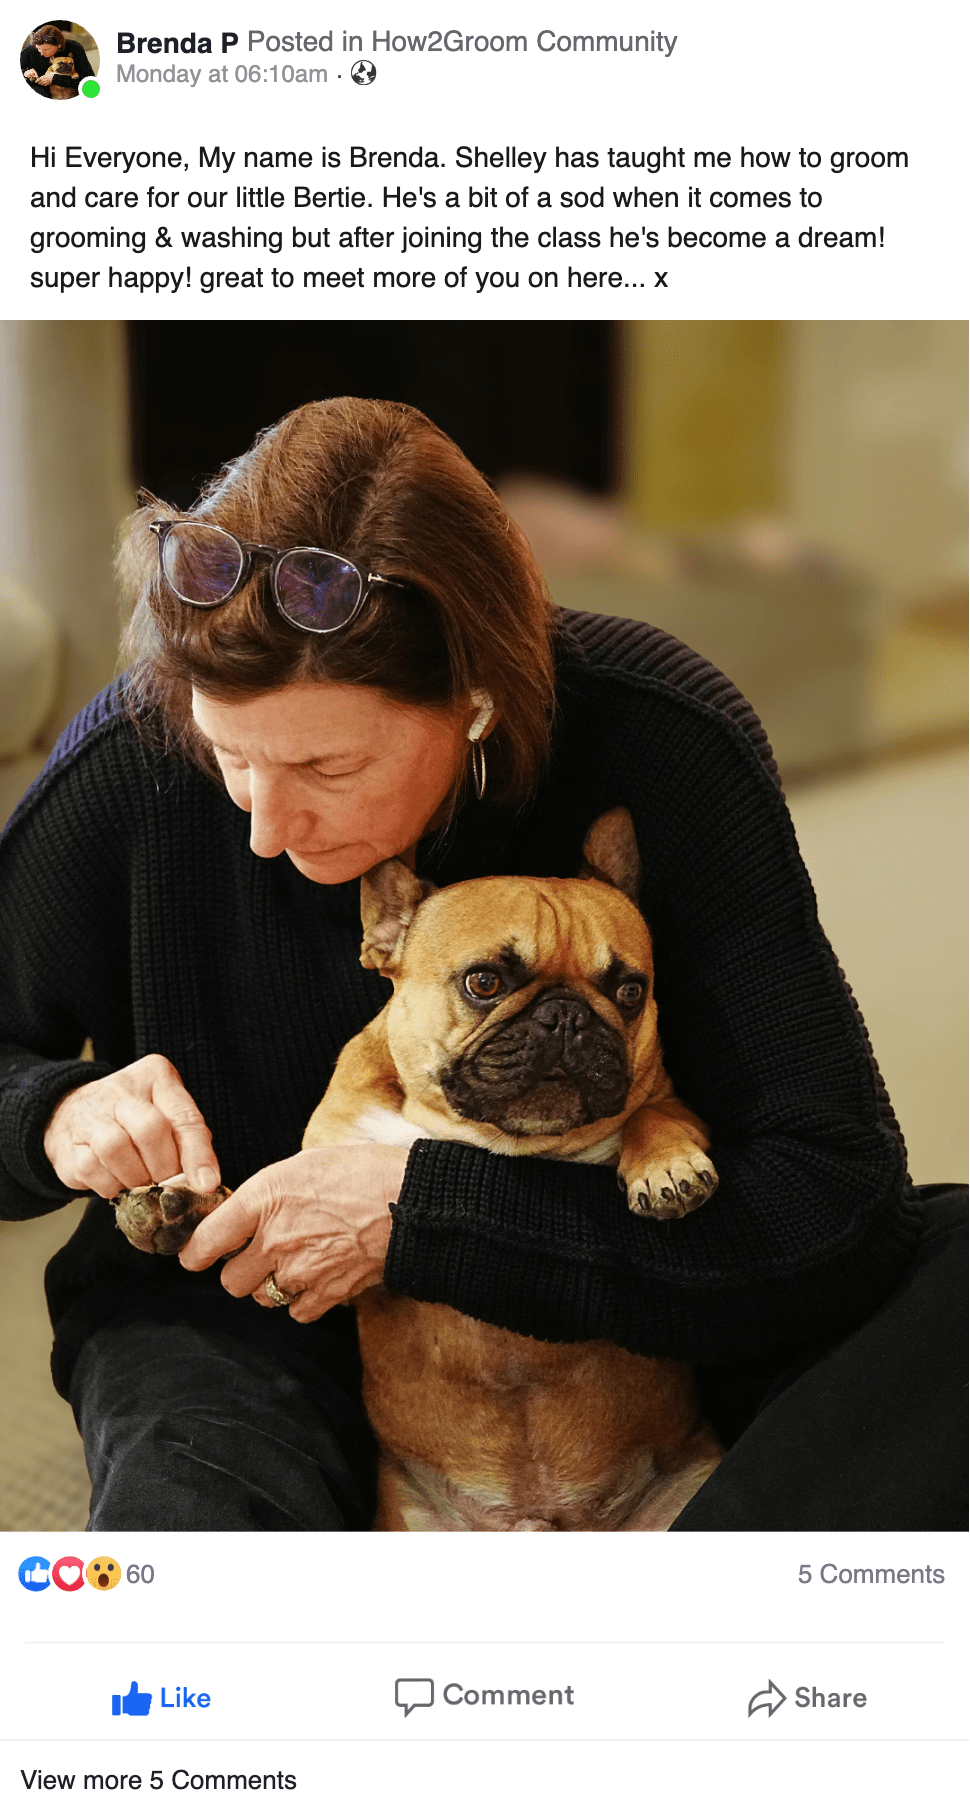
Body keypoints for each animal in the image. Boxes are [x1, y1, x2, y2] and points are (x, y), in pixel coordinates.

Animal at [303, 808, 722, 1531]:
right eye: (484, 982)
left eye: (629, 991)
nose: (566, 1016)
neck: (496, 1142)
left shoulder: (672, 1098)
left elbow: (655, 1115)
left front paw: (665, 1167)